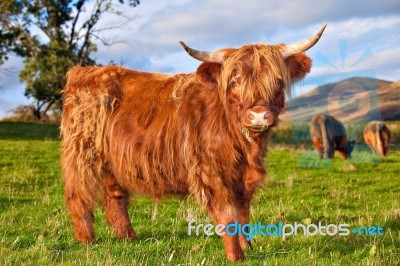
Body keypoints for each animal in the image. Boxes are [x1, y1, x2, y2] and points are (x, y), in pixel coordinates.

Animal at [61, 25, 326, 262]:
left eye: (278, 81)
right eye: (235, 81)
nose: (259, 116)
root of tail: (81, 73)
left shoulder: (244, 178)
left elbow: (243, 212)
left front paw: (247, 247)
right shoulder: (211, 172)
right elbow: (227, 214)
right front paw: (236, 256)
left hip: (111, 162)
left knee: (114, 197)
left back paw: (129, 238)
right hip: (82, 154)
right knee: (78, 195)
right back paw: (87, 239)